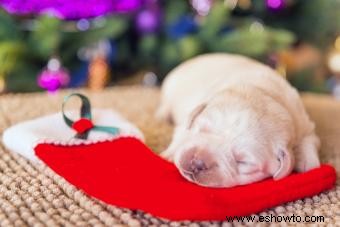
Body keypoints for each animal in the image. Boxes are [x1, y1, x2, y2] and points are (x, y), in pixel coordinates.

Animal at [158, 53, 320, 188]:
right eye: (202, 128)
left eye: (243, 161)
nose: (197, 163)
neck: (266, 92)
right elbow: (182, 132)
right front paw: (170, 154)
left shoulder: (303, 122)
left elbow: (310, 141)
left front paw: (308, 164)